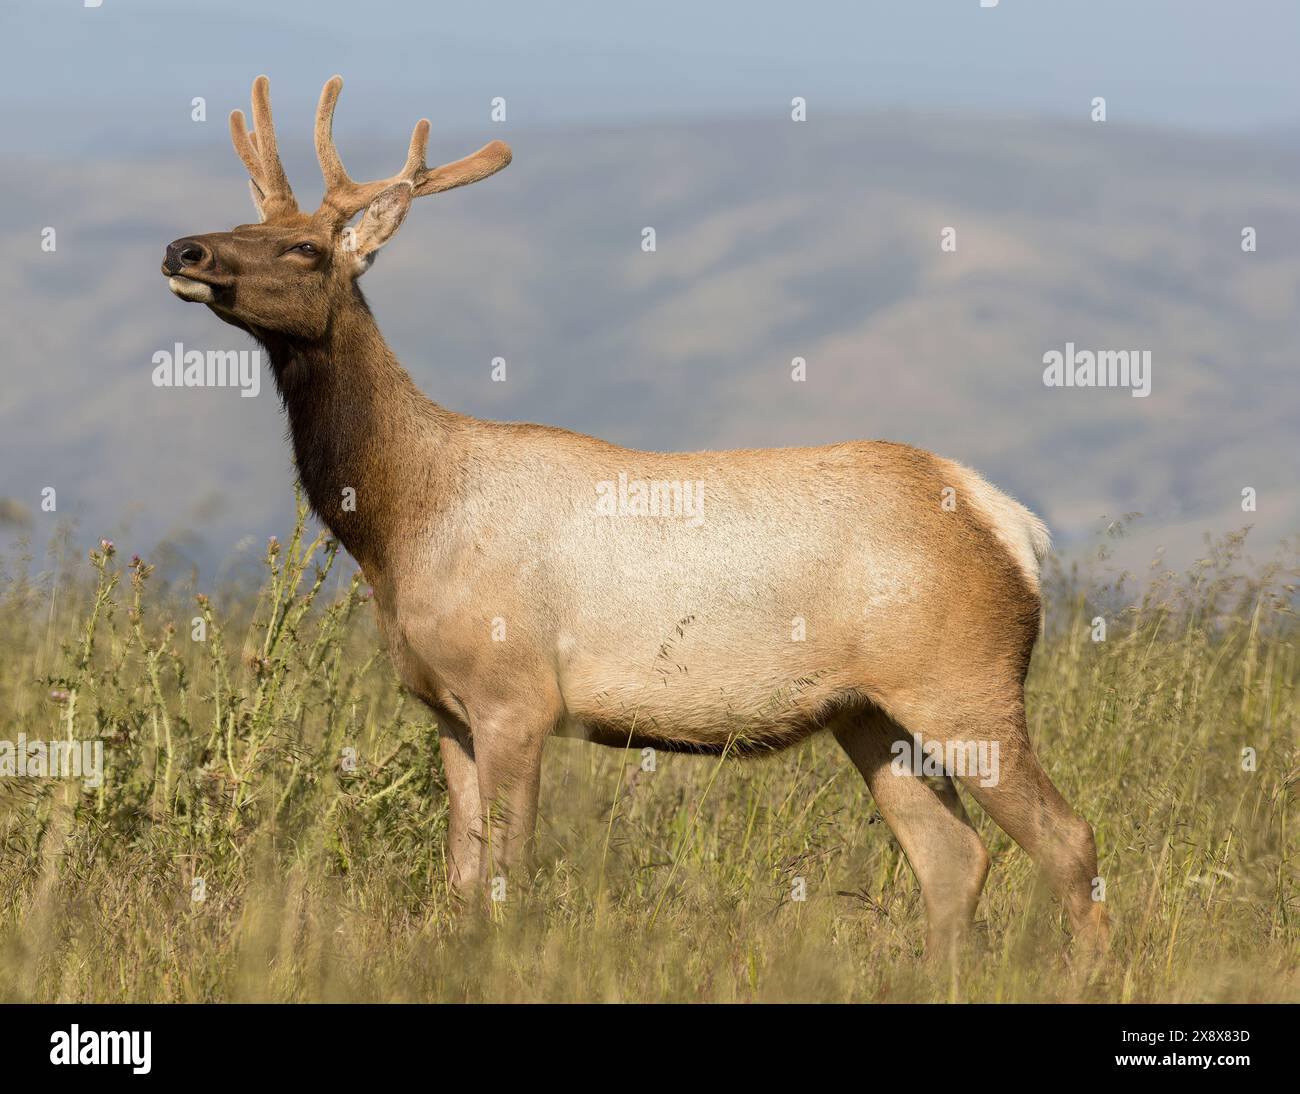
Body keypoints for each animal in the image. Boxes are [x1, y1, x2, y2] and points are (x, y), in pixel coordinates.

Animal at [161, 75, 1109, 961]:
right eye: (246, 224)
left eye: (305, 246)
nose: (183, 246)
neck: (405, 522)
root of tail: (1012, 527)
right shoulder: (444, 708)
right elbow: (462, 876)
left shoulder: (517, 693)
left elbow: (506, 875)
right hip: (870, 711)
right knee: (953, 858)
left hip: (963, 681)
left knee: (1067, 840)